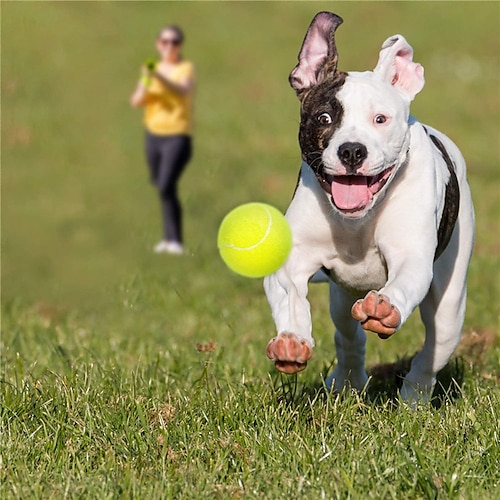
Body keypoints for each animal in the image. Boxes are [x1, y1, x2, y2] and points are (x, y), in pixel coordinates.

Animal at [264, 10, 474, 402]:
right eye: (325, 118)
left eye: (380, 119)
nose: (351, 151)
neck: (357, 221)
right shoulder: (292, 260)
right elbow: (289, 293)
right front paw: (292, 340)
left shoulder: (412, 257)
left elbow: (404, 281)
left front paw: (384, 307)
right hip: (341, 297)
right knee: (348, 336)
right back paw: (347, 381)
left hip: (450, 303)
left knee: (434, 348)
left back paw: (414, 398)